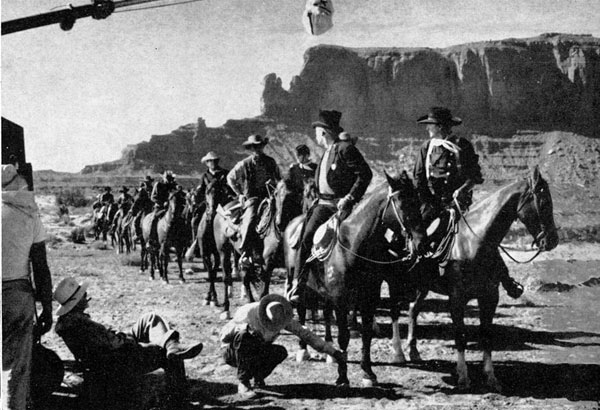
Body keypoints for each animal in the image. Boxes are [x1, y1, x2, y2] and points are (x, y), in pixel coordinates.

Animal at [282, 171, 426, 386]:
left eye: (417, 201)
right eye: (403, 204)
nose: (422, 242)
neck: (353, 245)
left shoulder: (369, 297)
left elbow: (366, 334)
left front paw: (368, 373)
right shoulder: (341, 299)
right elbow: (344, 336)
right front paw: (342, 376)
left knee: (325, 314)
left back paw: (329, 352)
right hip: (301, 283)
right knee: (301, 310)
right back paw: (303, 350)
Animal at [400, 166, 560, 390]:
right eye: (544, 203)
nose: (553, 240)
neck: (473, 243)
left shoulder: (489, 297)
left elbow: (486, 337)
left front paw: (491, 377)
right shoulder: (457, 299)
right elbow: (460, 336)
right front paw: (463, 376)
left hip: (423, 286)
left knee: (413, 309)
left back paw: (413, 350)